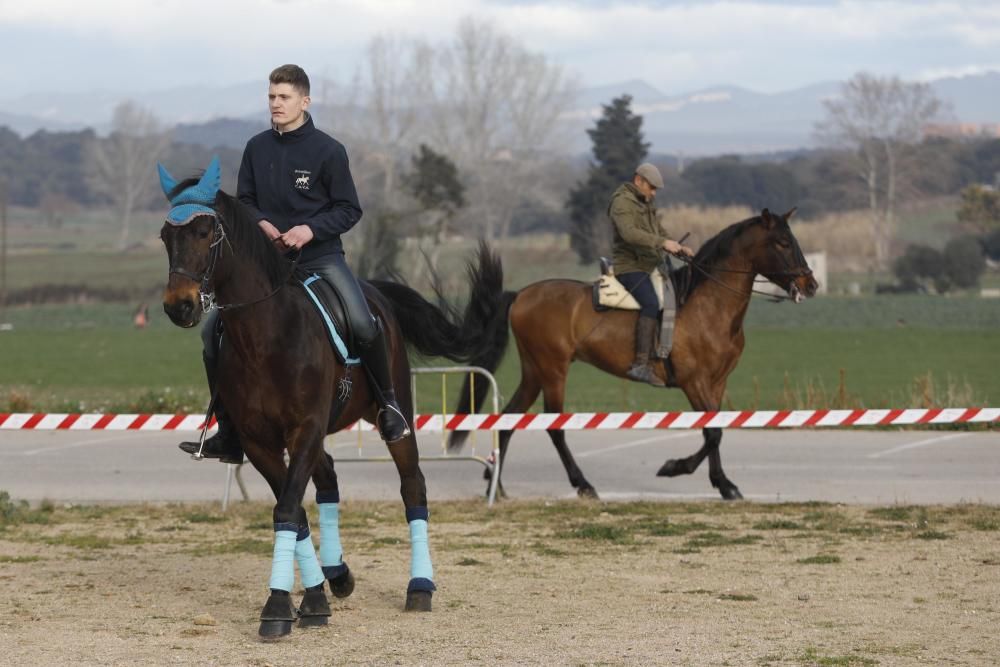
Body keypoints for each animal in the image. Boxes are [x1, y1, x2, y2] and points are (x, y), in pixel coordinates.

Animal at [160, 159, 504, 640]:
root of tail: (375, 291)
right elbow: (295, 511)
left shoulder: (304, 429)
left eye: (206, 230)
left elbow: (288, 508)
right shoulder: (260, 441)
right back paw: (335, 575)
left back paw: (419, 587)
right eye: (165, 236)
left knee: (412, 487)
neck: (265, 335)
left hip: (392, 417)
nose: (180, 306)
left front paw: (278, 606)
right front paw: (313, 598)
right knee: (328, 482)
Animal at [450, 209, 816, 500]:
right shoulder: (694, 382)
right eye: (782, 243)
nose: (810, 285)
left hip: (534, 372)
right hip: (553, 371)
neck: (708, 304)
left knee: (509, 420)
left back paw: (494, 485)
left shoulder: (716, 383)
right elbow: (713, 432)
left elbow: (714, 429)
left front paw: (723, 484)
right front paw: (675, 467)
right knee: (554, 427)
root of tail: (523, 295)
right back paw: (583, 484)